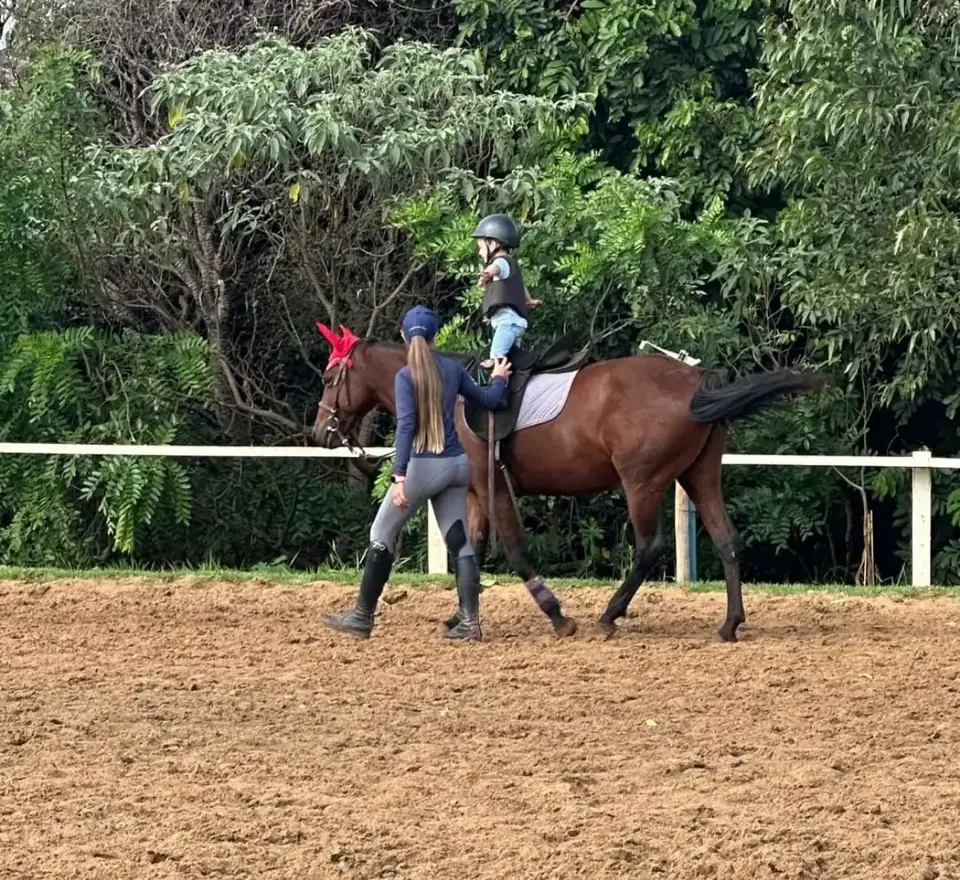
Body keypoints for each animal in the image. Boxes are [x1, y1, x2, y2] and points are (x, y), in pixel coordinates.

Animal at [313, 323, 827, 642]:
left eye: (329, 376)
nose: (322, 432)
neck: (446, 392)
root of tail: (697, 379)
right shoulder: (476, 493)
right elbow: (471, 551)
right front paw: (462, 615)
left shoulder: (495, 489)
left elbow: (515, 550)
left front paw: (556, 615)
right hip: (699, 476)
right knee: (727, 541)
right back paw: (729, 624)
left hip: (642, 483)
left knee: (649, 546)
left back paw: (609, 615)